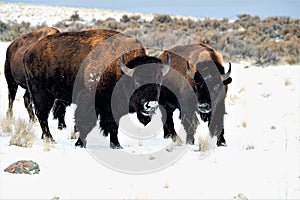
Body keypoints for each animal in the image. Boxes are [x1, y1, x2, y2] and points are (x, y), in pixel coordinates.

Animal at [23, 29, 169, 148]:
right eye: (137, 81)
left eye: (159, 82)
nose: (151, 105)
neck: (118, 70)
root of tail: (29, 51)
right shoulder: (89, 101)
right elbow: (86, 122)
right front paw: (80, 144)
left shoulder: (112, 107)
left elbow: (113, 126)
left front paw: (117, 145)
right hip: (41, 93)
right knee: (42, 115)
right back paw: (50, 140)